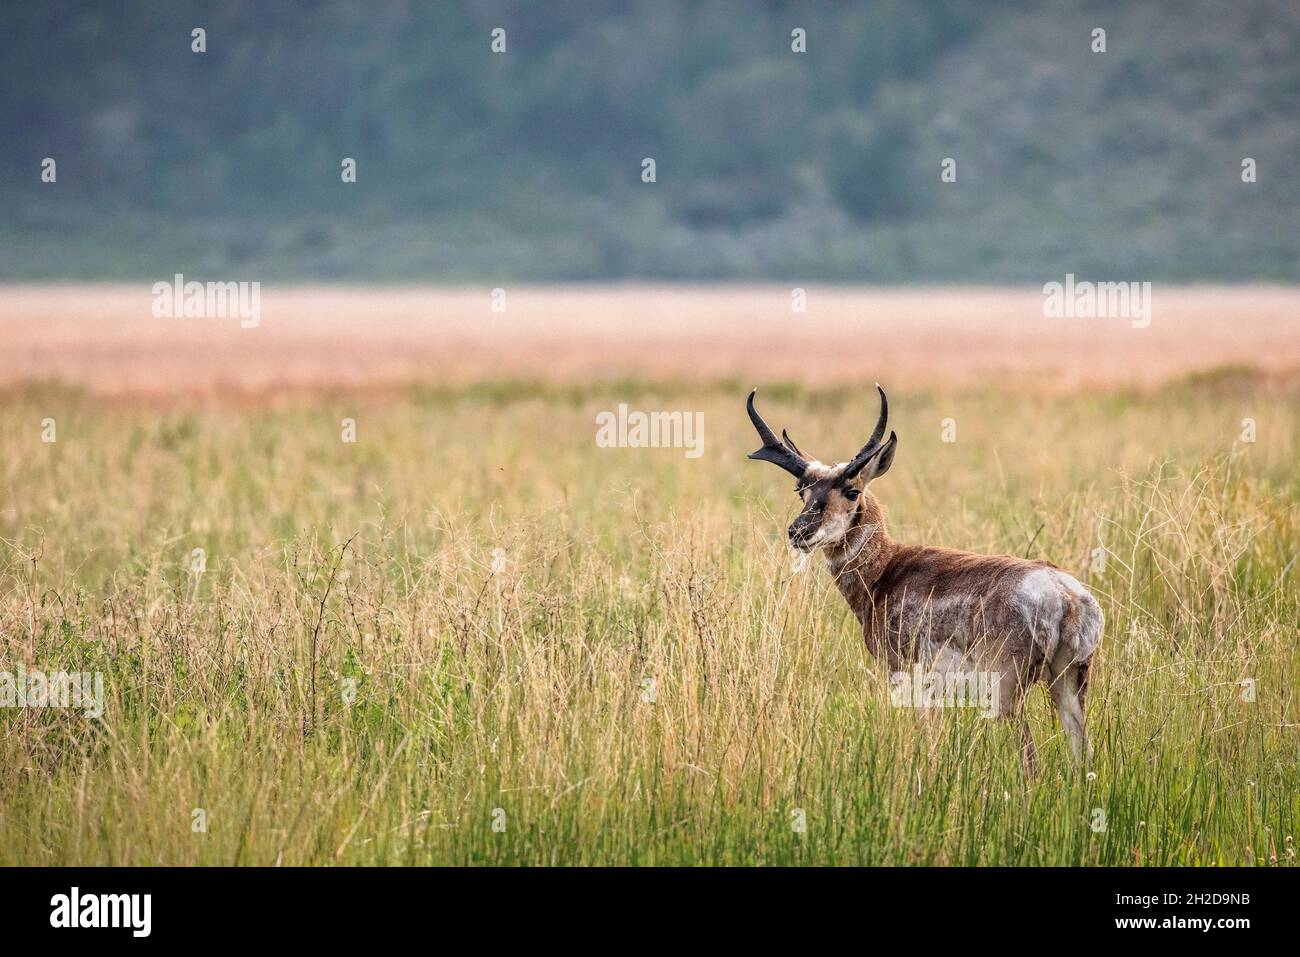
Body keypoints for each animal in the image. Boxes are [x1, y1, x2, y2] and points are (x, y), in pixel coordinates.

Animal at [746, 386, 1102, 772]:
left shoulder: (910, 679)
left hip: (1009, 691)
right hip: (1069, 684)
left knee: (1030, 758)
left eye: (852, 490)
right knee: (1083, 752)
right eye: (803, 491)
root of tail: (1066, 596)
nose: (798, 532)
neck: (887, 569)